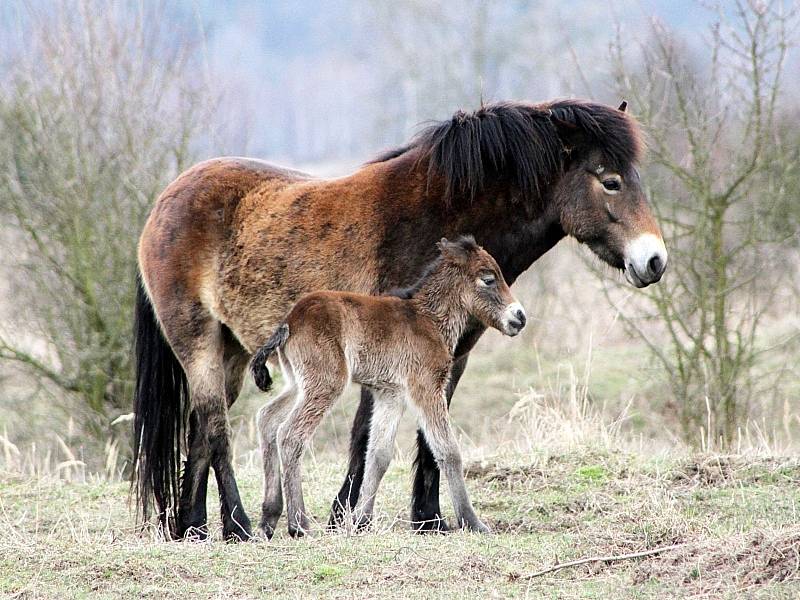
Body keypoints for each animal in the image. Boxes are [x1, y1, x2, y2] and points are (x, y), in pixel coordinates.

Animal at [250, 237, 524, 536]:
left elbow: (379, 454)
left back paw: (268, 519)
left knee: (267, 418)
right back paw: (299, 525)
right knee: (290, 435)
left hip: (298, 383)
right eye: (488, 279)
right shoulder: (426, 387)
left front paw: (361, 521)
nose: (519, 317)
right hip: (326, 383)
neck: (430, 320)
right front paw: (472, 522)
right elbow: (448, 450)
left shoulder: (389, 394)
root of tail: (289, 321)